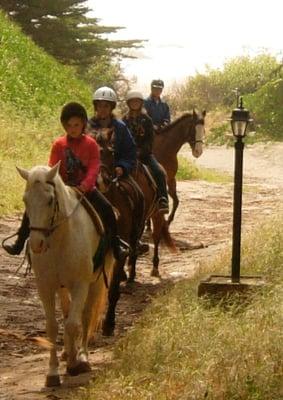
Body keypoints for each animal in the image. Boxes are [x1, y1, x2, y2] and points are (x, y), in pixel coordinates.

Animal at [17, 163, 115, 388]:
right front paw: (52, 373)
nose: (36, 244)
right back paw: (66, 352)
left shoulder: (80, 284)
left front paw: (74, 364)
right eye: (25, 200)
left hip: (95, 283)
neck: (60, 240)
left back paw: (83, 356)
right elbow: (53, 326)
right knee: (67, 311)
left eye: (50, 200)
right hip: (62, 288)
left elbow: (74, 324)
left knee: (85, 316)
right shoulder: (45, 286)